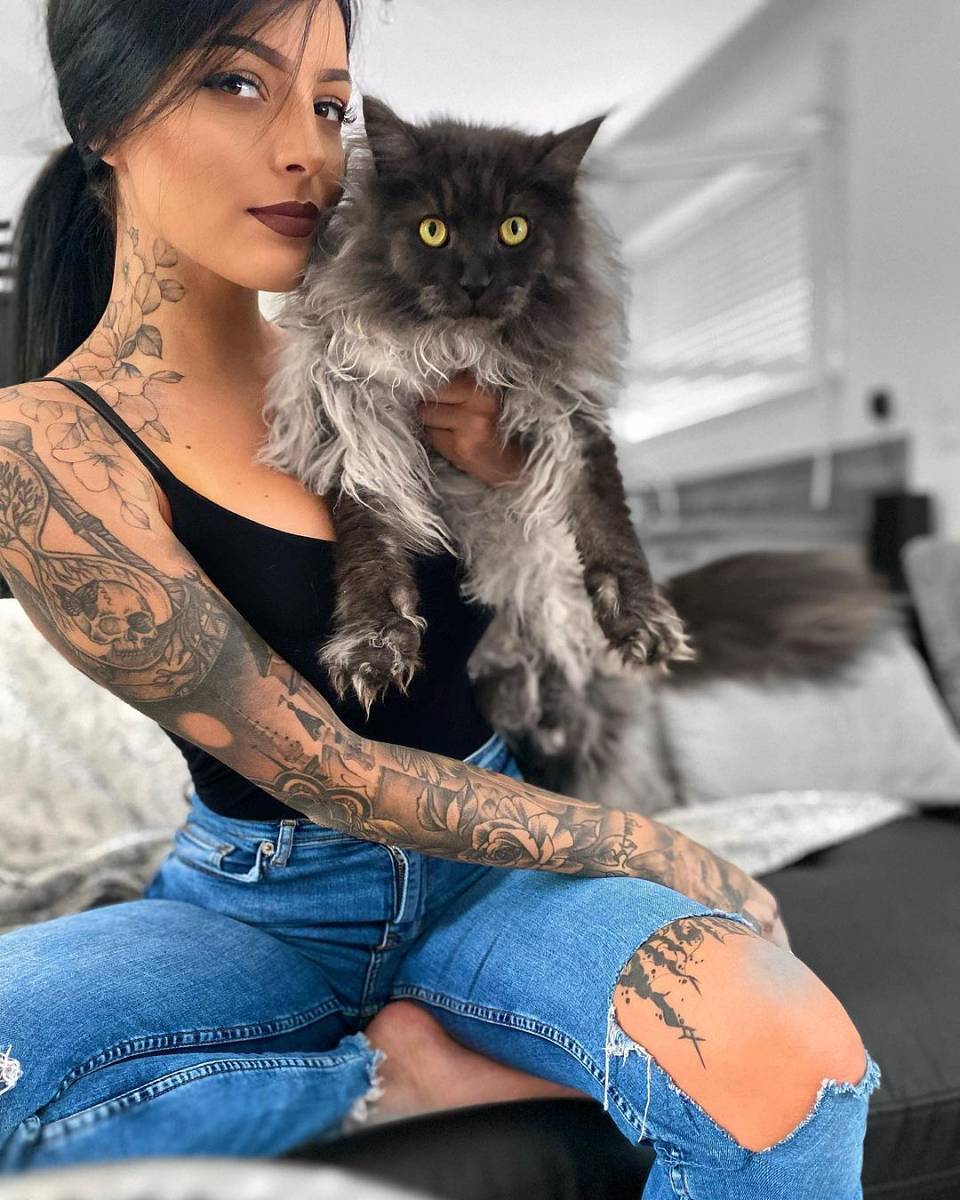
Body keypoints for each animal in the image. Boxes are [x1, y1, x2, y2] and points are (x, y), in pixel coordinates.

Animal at [254, 93, 694, 793]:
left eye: (514, 229)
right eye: (434, 230)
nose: (476, 279)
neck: (461, 350)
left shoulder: (571, 414)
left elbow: (610, 527)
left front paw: (642, 620)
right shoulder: (362, 431)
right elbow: (370, 553)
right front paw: (373, 645)